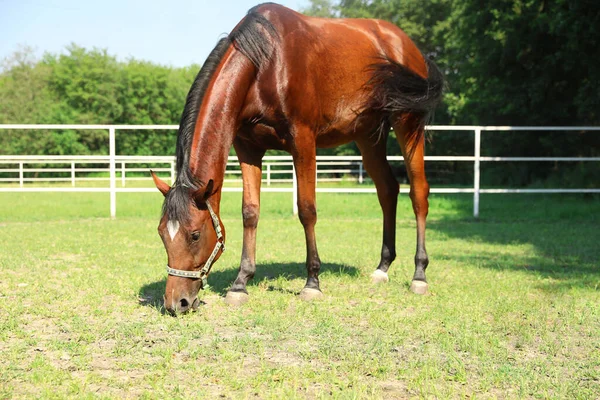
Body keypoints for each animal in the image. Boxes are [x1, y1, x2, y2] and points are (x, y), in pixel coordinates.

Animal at [150, 3, 442, 316]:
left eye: (194, 235)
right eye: (161, 233)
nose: (176, 303)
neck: (266, 62)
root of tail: (405, 44)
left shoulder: (303, 141)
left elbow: (306, 210)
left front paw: (312, 282)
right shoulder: (248, 148)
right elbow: (250, 212)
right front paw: (240, 283)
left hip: (408, 124)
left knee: (418, 193)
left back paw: (419, 275)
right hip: (368, 136)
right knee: (388, 190)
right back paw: (382, 268)